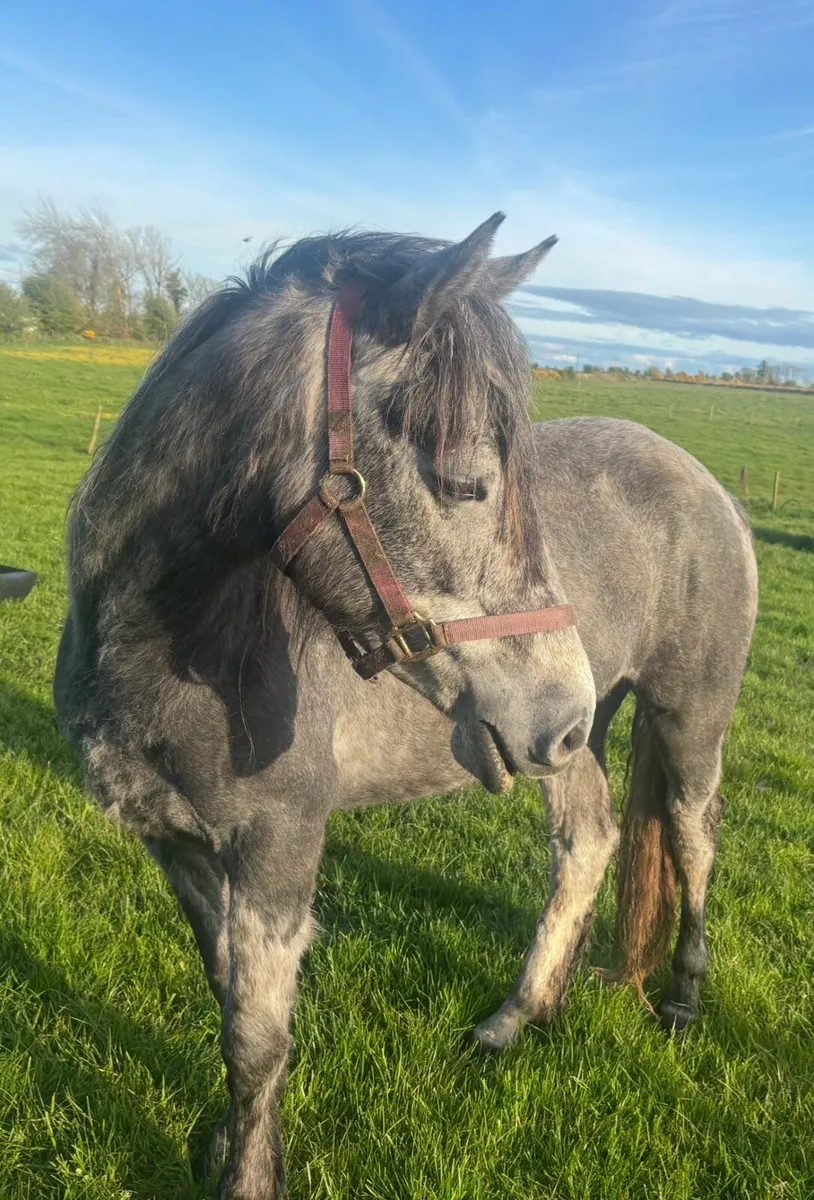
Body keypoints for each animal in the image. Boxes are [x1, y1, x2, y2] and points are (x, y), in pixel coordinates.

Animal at [53, 214, 757, 1199]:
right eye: (466, 484)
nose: (562, 700)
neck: (171, 650)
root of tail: (709, 485)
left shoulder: (277, 848)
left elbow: (256, 1039)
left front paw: (250, 1172)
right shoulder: (177, 847)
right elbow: (226, 996)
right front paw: (227, 1143)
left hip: (682, 720)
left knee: (694, 839)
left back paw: (685, 997)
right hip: (567, 749)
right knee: (587, 845)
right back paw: (519, 1016)